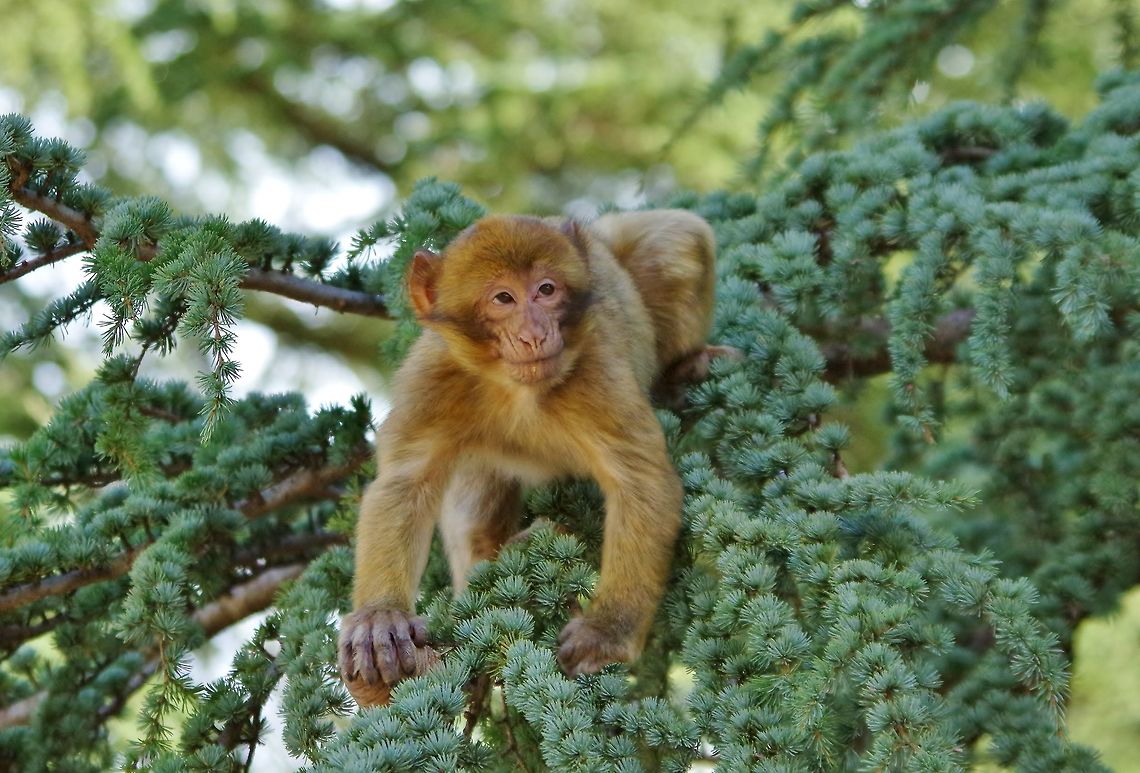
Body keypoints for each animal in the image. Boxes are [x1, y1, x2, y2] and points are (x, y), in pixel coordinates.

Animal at [338, 209, 720, 706]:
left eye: (546, 290)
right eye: (503, 298)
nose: (536, 333)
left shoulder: (598, 370)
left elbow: (643, 480)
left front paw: (607, 632)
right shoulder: (433, 377)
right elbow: (404, 482)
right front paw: (379, 618)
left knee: (678, 238)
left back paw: (682, 371)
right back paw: (494, 555)